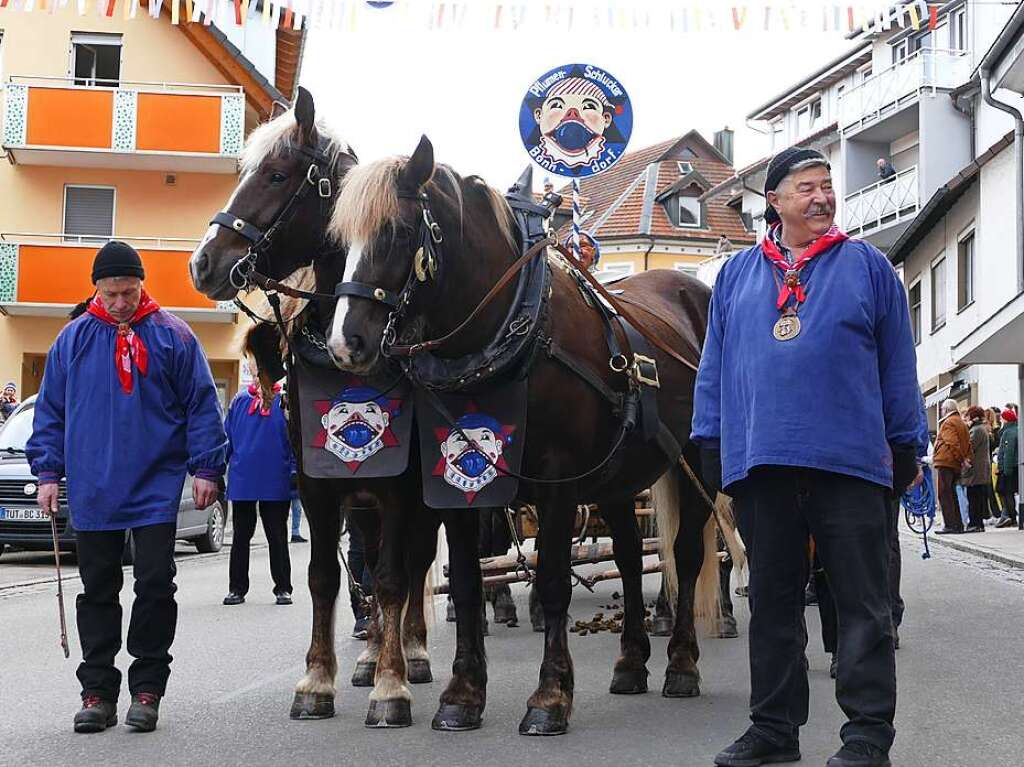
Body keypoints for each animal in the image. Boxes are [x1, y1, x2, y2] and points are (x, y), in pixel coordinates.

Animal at [325, 134, 720, 733]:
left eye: (395, 231)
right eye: (339, 240)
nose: (345, 343)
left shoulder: (559, 483)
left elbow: (553, 579)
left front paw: (551, 695)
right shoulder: (458, 486)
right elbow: (468, 583)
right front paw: (462, 693)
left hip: (694, 462)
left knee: (687, 553)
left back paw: (682, 663)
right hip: (619, 475)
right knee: (631, 557)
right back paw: (631, 661)